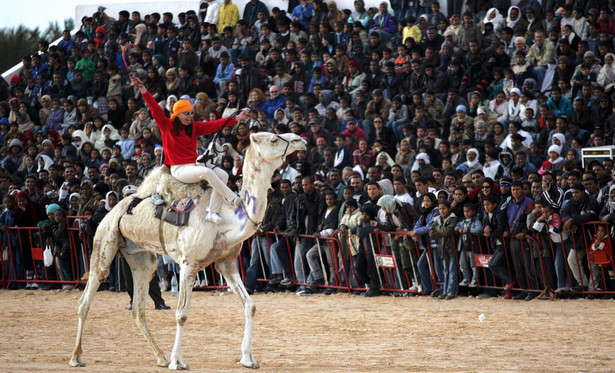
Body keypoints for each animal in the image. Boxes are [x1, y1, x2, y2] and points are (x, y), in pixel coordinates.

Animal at [69, 132, 306, 370]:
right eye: (274, 139)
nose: (300, 140)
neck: (227, 220)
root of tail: (116, 208)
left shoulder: (227, 263)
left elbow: (250, 305)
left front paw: (248, 359)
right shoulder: (188, 264)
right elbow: (181, 314)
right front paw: (178, 361)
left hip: (142, 259)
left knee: (138, 308)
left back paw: (161, 357)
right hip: (105, 240)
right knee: (86, 299)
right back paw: (76, 357)